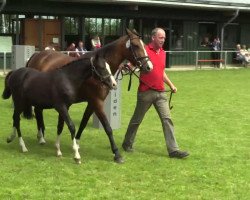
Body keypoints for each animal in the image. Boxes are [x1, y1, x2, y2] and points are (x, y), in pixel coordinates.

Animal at [26, 28, 152, 163]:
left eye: (144, 45)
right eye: (135, 45)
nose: (149, 66)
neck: (93, 72)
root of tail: (36, 55)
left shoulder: (92, 103)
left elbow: (84, 122)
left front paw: (76, 144)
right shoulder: (97, 102)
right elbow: (107, 127)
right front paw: (117, 154)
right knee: (38, 112)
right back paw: (41, 137)